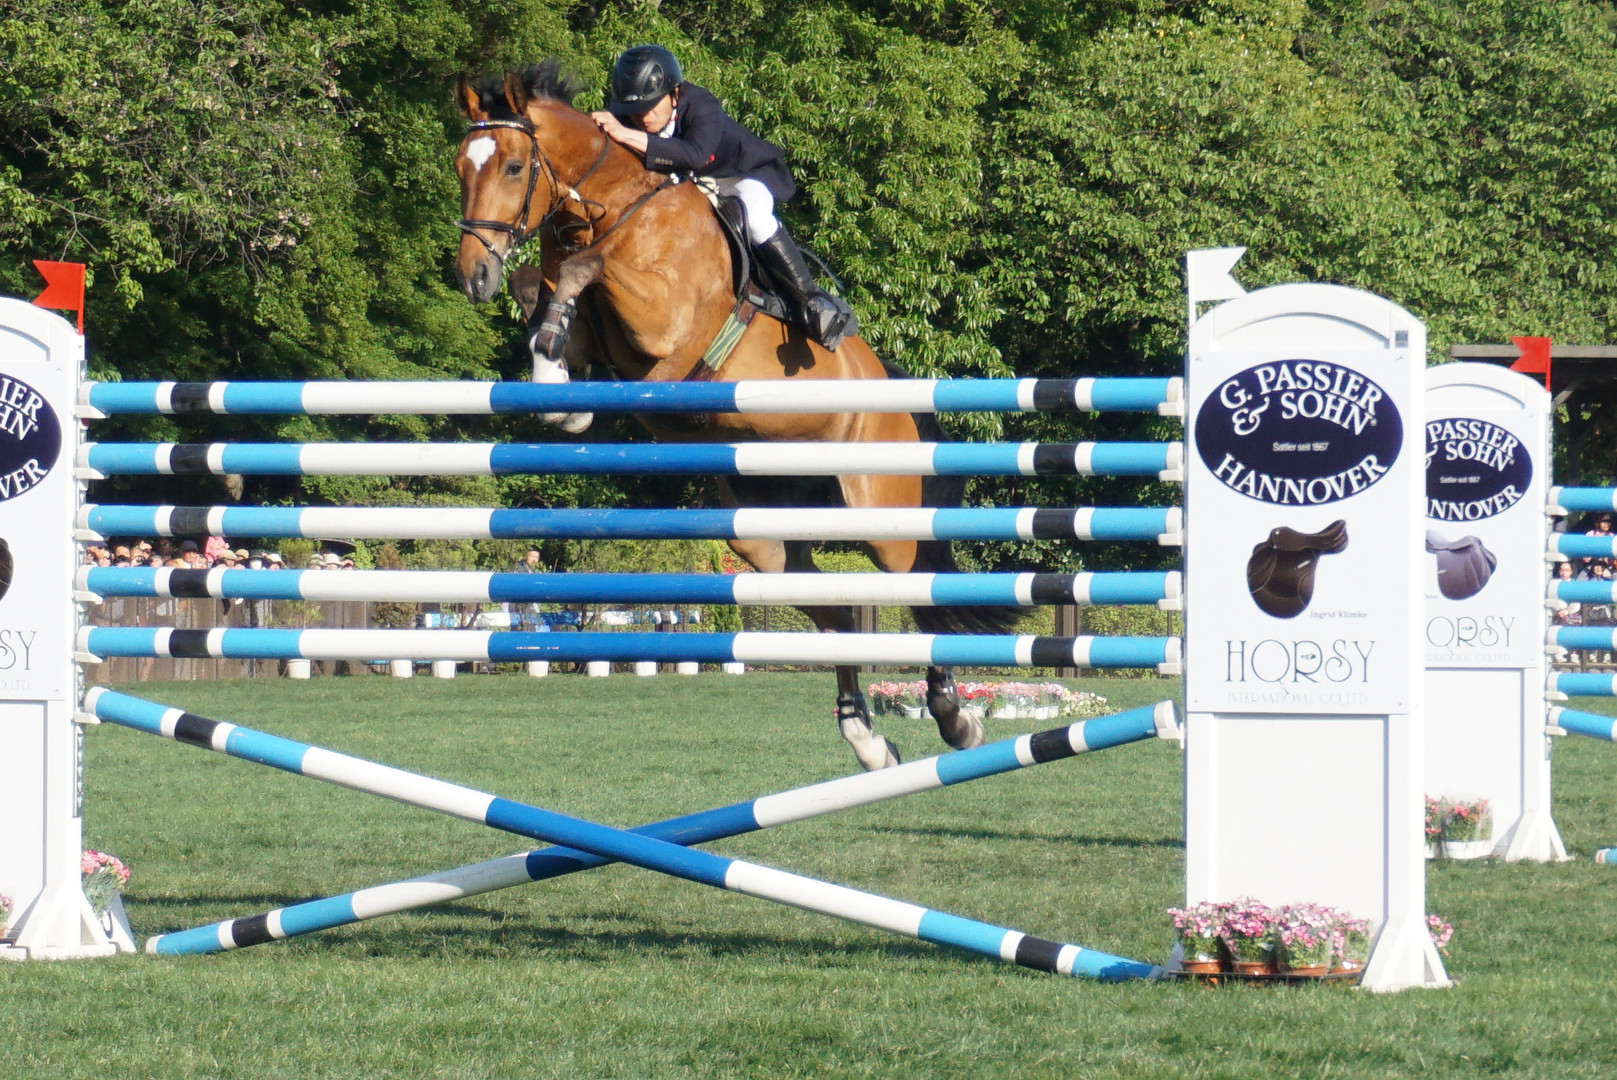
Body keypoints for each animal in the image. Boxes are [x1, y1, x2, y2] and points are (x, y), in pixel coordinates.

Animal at [452, 60, 1019, 771]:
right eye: (460, 167)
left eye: (512, 166)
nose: (471, 276)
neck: (616, 206)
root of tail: (892, 391)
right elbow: (543, 284)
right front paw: (556, 381)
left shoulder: (663, 321)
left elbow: (589, 266)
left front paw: (555, 355)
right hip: (763, 527)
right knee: (833, 608)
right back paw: (865, 739)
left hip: (879, 509)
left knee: (916, 586)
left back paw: (953, 717)